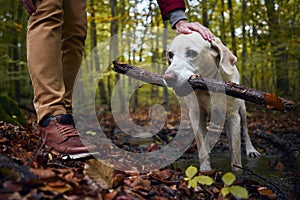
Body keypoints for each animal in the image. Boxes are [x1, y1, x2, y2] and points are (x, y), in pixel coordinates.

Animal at [163, 31, 258, 172]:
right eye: (171, 55)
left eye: (191, 53)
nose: (167, 78)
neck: (208, 88)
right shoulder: (196, 114)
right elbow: (202, 146)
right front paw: (205, 170)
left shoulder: (233, 115)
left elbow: (236, 151)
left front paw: (237, 172)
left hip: (242, 109)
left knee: (245, 130)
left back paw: (251, 149)